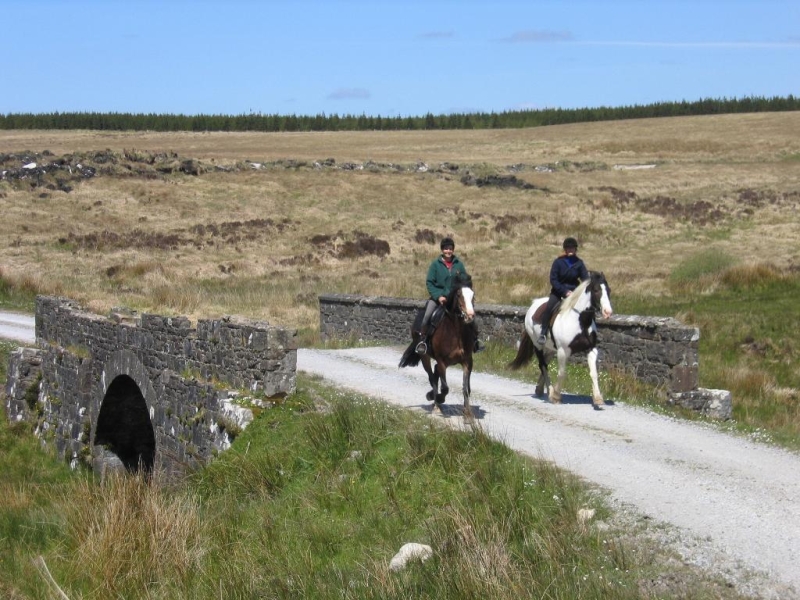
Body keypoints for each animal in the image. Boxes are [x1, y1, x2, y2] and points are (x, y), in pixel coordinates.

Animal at [398, 276, 476, 418]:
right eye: (459, 294)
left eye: (473, 295)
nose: (470, 316)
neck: (456, 332)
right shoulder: (441, 361)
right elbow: (445, 388)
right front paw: (439, 399)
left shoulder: (467, 361)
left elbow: (466, 388)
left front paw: (468, 414)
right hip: (425, 357)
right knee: (432, 377)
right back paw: (435, 404)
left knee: (435, 374)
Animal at [510, 270, 616, 408]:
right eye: (596, 290)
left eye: (608, 290)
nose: (608, 312)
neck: (580, 320)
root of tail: (533, 305)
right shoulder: (562, 351)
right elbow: (562, 373)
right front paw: (556, 396)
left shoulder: (591, 349)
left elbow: (594, 373)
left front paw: (598, 399)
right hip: (538, 346)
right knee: (543, 366)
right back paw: (550, 392)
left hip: (551, 349)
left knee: (546, 362)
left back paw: (540, 389)